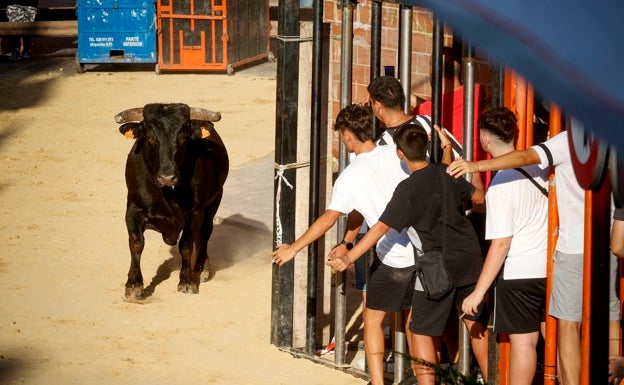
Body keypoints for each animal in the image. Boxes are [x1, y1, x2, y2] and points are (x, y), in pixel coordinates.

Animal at [115, 103, 229, 300]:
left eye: (182, 138)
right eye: (150, 137)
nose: (167, 178)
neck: (167, 194)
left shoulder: (196, 212)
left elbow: (186, 246)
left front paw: (187, 281)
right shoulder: (133, 209)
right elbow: (136, 243)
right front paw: (133, 285)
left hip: (213, 203)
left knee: (204, 234)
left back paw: (201, 269)